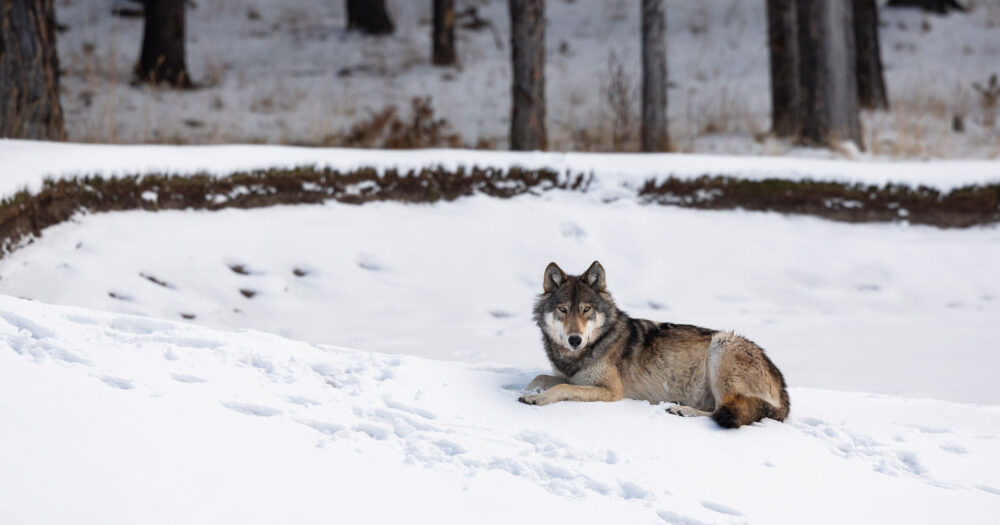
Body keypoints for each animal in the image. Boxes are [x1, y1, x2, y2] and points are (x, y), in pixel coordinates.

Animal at [519, 261, 790, 428]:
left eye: (586, 309)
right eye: (563, 310)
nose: (574, 339)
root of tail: (783, 391)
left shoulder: (611, 391)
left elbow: (561, 387)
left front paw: (535, 399)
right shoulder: (572, 376)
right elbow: (542, 378)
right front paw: (529, 390)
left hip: (721, 346)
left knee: (720, 410)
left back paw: (683, 411)